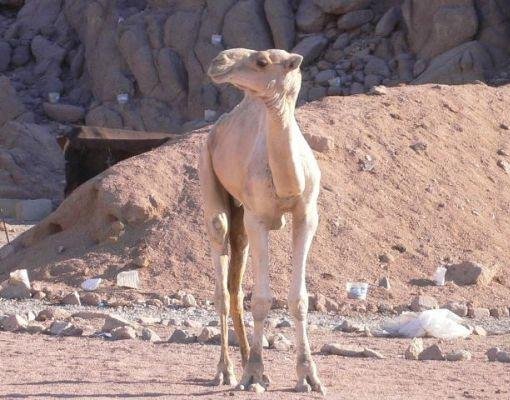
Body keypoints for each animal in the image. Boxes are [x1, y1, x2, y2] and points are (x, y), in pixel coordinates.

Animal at [197, 47, 324, 394]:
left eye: (262, 61)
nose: (218, 61)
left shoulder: (307, 215)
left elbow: (299, 299)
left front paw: (308, 376)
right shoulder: (258, 219)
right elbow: (263, 300)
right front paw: (253, 374)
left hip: (241, 214)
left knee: (235, 281)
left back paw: (244, 362)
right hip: (207, 169)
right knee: (221, 270)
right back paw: (228, 371)